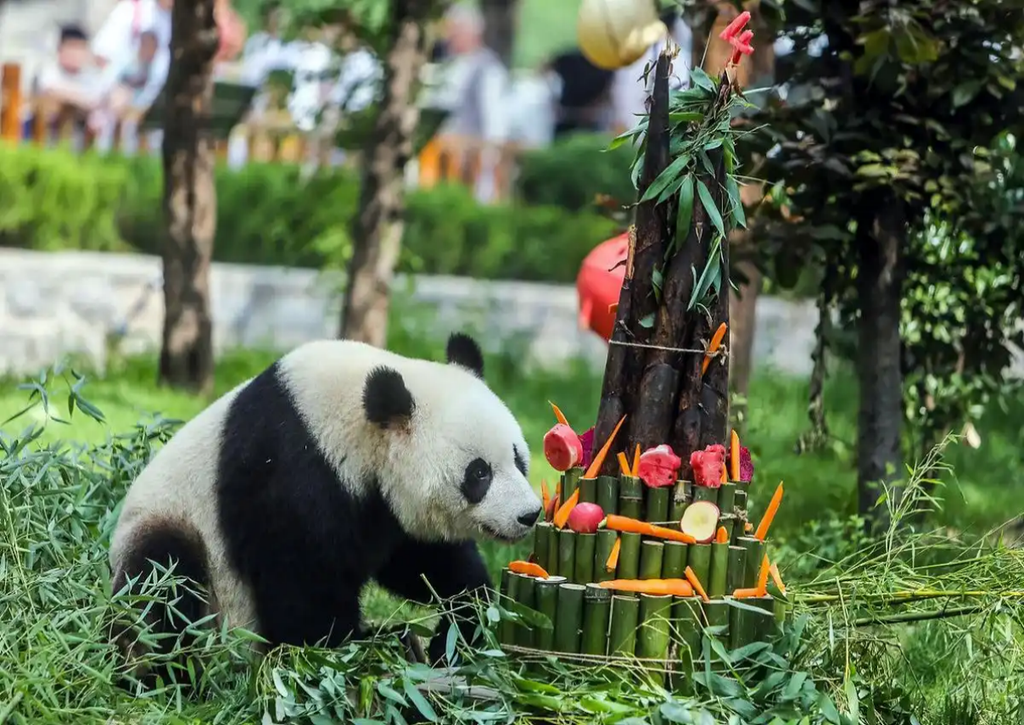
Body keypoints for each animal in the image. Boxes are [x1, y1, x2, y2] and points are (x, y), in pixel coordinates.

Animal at [109, 332, 542, 681]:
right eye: (479, 473)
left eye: (518, 458)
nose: (529, 514)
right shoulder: (293, 467)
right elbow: (300, 579)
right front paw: (351, 648)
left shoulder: (381, 505)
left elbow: (420, 561)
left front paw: (459, 628)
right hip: (173, 531)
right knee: (162, 582)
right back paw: (171, 672)